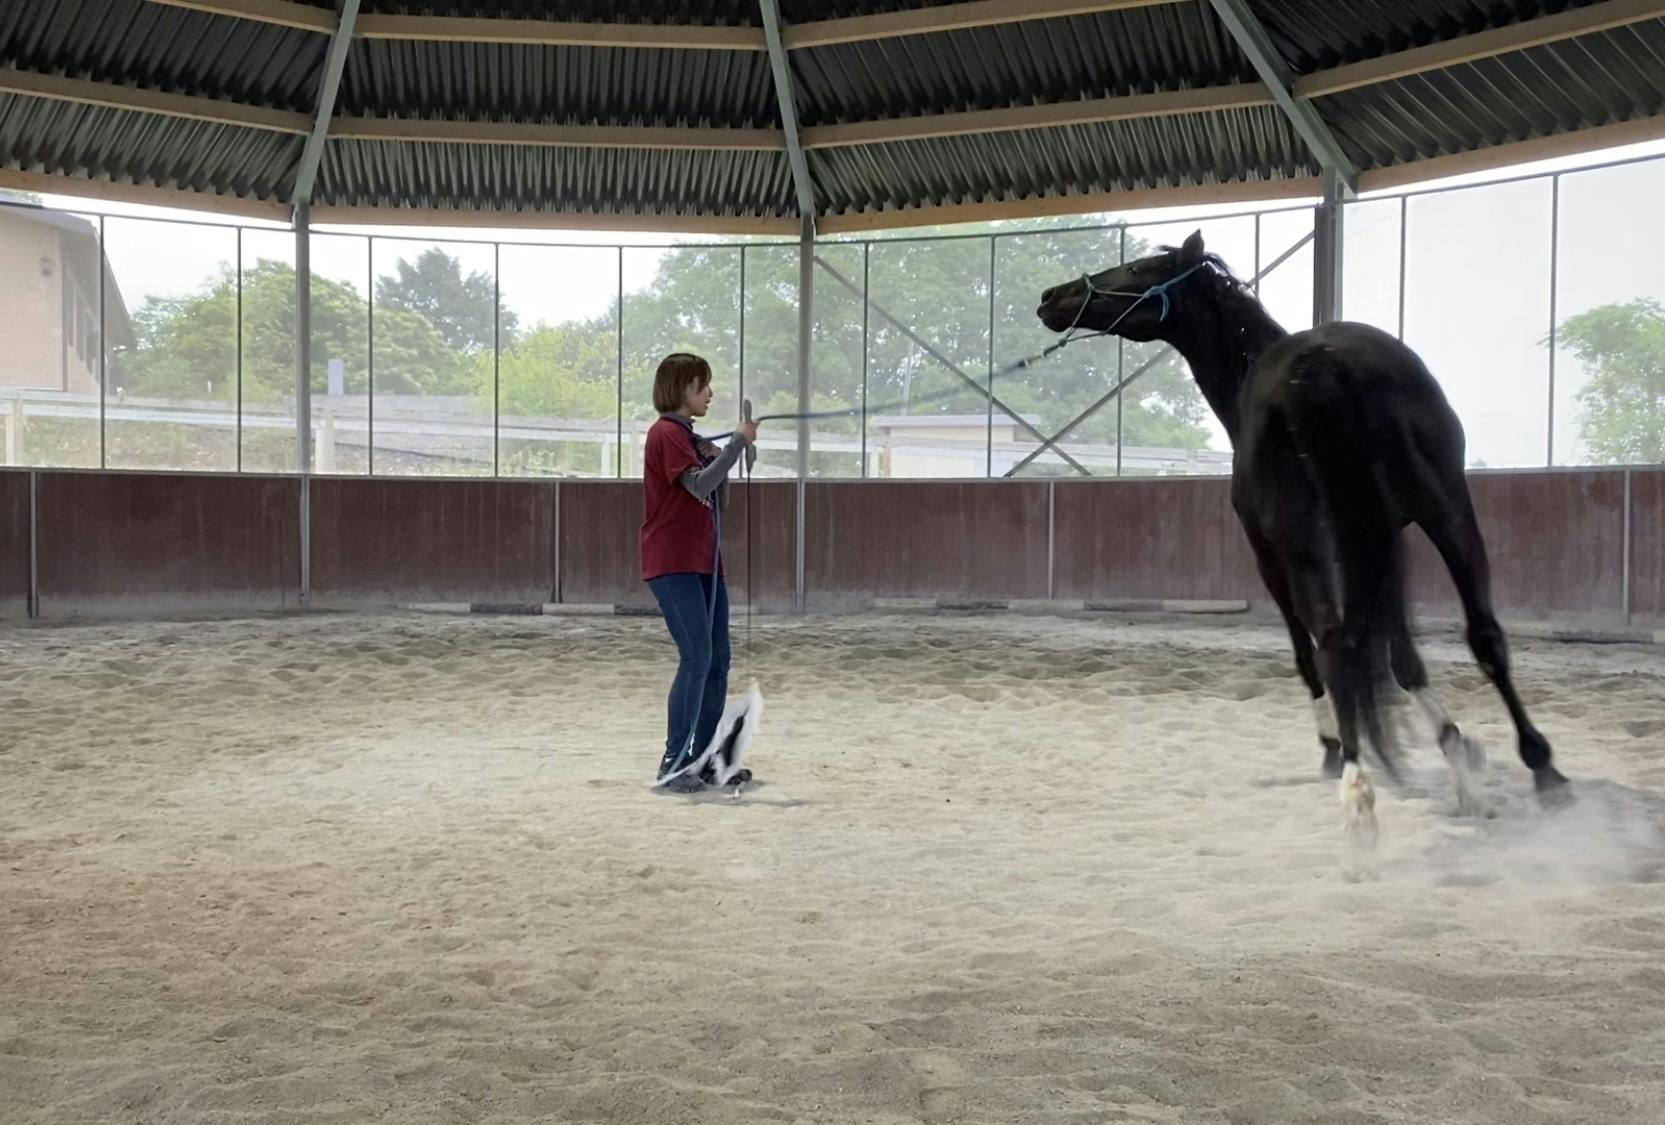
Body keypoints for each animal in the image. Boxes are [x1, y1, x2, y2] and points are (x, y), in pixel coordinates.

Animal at [1035, 230, 1569, 842]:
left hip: (1307, 545)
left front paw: (1336, 747)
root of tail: (1323, 367)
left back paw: (1359, 790)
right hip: (1446, 513)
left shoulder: (1270, 556)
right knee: (1481, 634)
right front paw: (1456, 751)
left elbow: (1306, 654)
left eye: (1138, 268)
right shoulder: (1384, 539)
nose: (1052, 297)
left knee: (1334, 646)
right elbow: (1403, 658)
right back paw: (1543, 769)